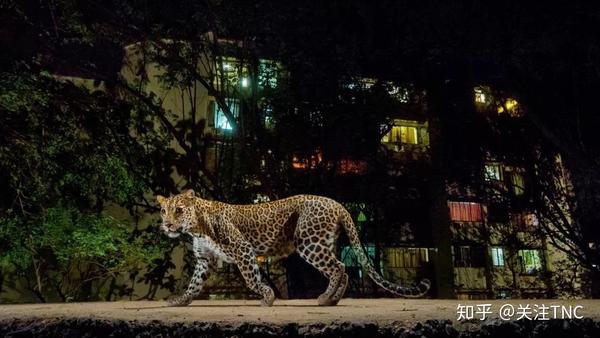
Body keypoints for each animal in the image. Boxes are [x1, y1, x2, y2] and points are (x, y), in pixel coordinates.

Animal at [157, 189, 428, 308]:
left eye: (178, 210)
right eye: (163, 210)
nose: (167, 224)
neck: (196, 227)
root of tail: (338, 204)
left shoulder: (242, 248)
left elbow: (251, 279)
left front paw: (267, 297)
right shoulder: (204, 259)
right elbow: (194, 283)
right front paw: (180, 300)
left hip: (309, 243)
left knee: (338, 267)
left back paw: (325, 298)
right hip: (323, 242)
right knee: (343, 269)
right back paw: (333, 300)